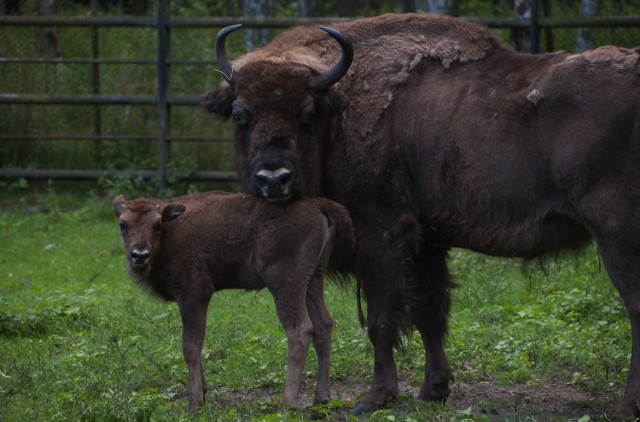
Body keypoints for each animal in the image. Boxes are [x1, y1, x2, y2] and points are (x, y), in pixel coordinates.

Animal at [115, 192, 356, 412]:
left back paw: (285, 404)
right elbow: (196, 345)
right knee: (324, 325)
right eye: (123, 224)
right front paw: (203, 392)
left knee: (300, 330)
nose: (139, 255)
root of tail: (317, 204)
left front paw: (194, 402)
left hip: (285, 284)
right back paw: (322, 398)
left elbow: (191, 346)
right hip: (314, 279)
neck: (170, 231)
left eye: (156, 224)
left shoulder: (193, 294)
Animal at [202, 13, 640, 418]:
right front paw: (433, 389)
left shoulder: (381, 233)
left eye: (307, 113)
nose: (274, 179)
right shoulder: (428, 241)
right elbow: (430, 312)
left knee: (635, 309)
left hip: (617, 236)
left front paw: (374, 397)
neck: (340, 111)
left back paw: (624, 406)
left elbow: (381, 318)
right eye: (240, 115)